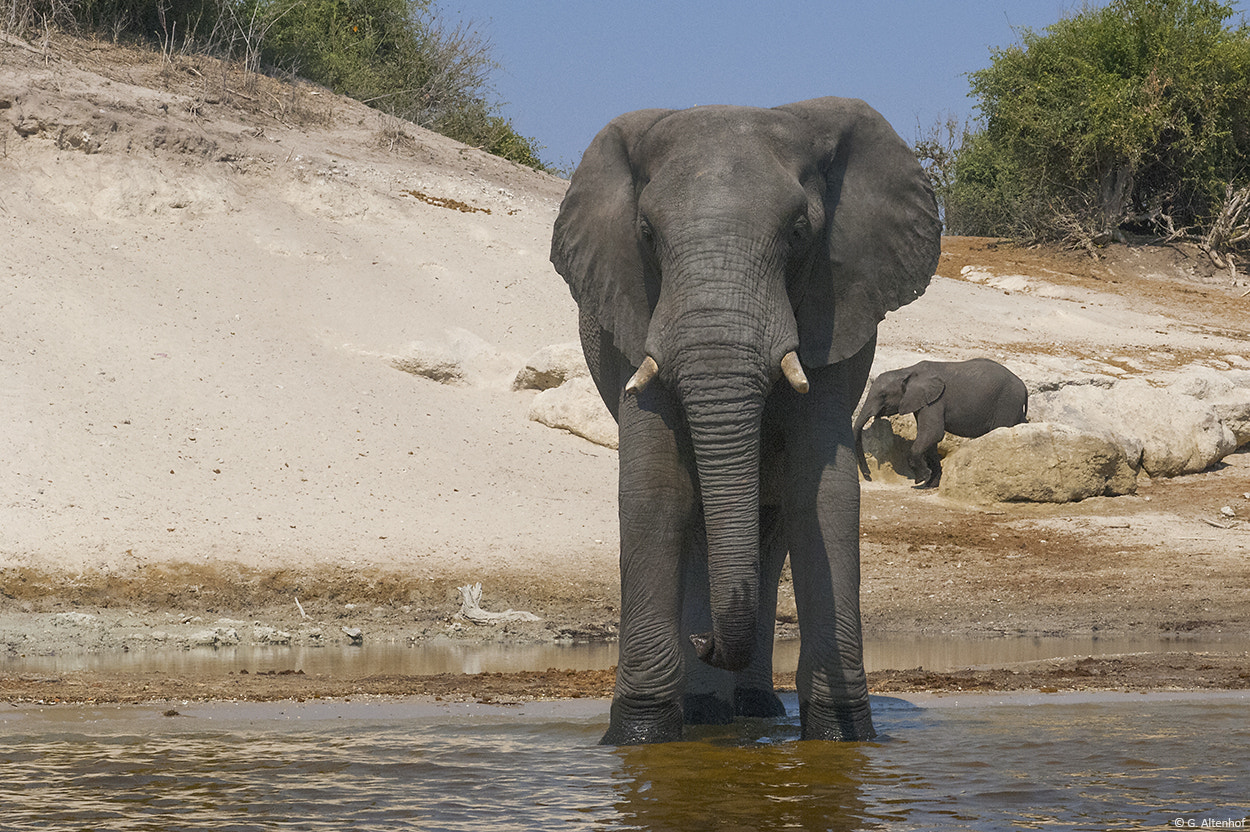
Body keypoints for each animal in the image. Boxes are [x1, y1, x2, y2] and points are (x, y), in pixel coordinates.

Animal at [549, 97, 940, 744]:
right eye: (646, 235)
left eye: (800, 233)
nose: (703, 640)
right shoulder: (633, 318)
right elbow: (657, 488)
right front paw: (639, 736)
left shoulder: (833, 310)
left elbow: (823, 495)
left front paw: (843, 737)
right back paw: (708, 712)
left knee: (770, 529)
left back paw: (752, 706)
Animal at [853, 358, 1028, 488]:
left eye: (883, 395)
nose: (868, 475)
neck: (906, 371)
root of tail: (1024, 387)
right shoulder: (922, 402)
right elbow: (929, 439)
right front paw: (930, 484)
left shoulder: (935, 401)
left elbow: (933, 433)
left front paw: (921, 479)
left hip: (1007, 403)